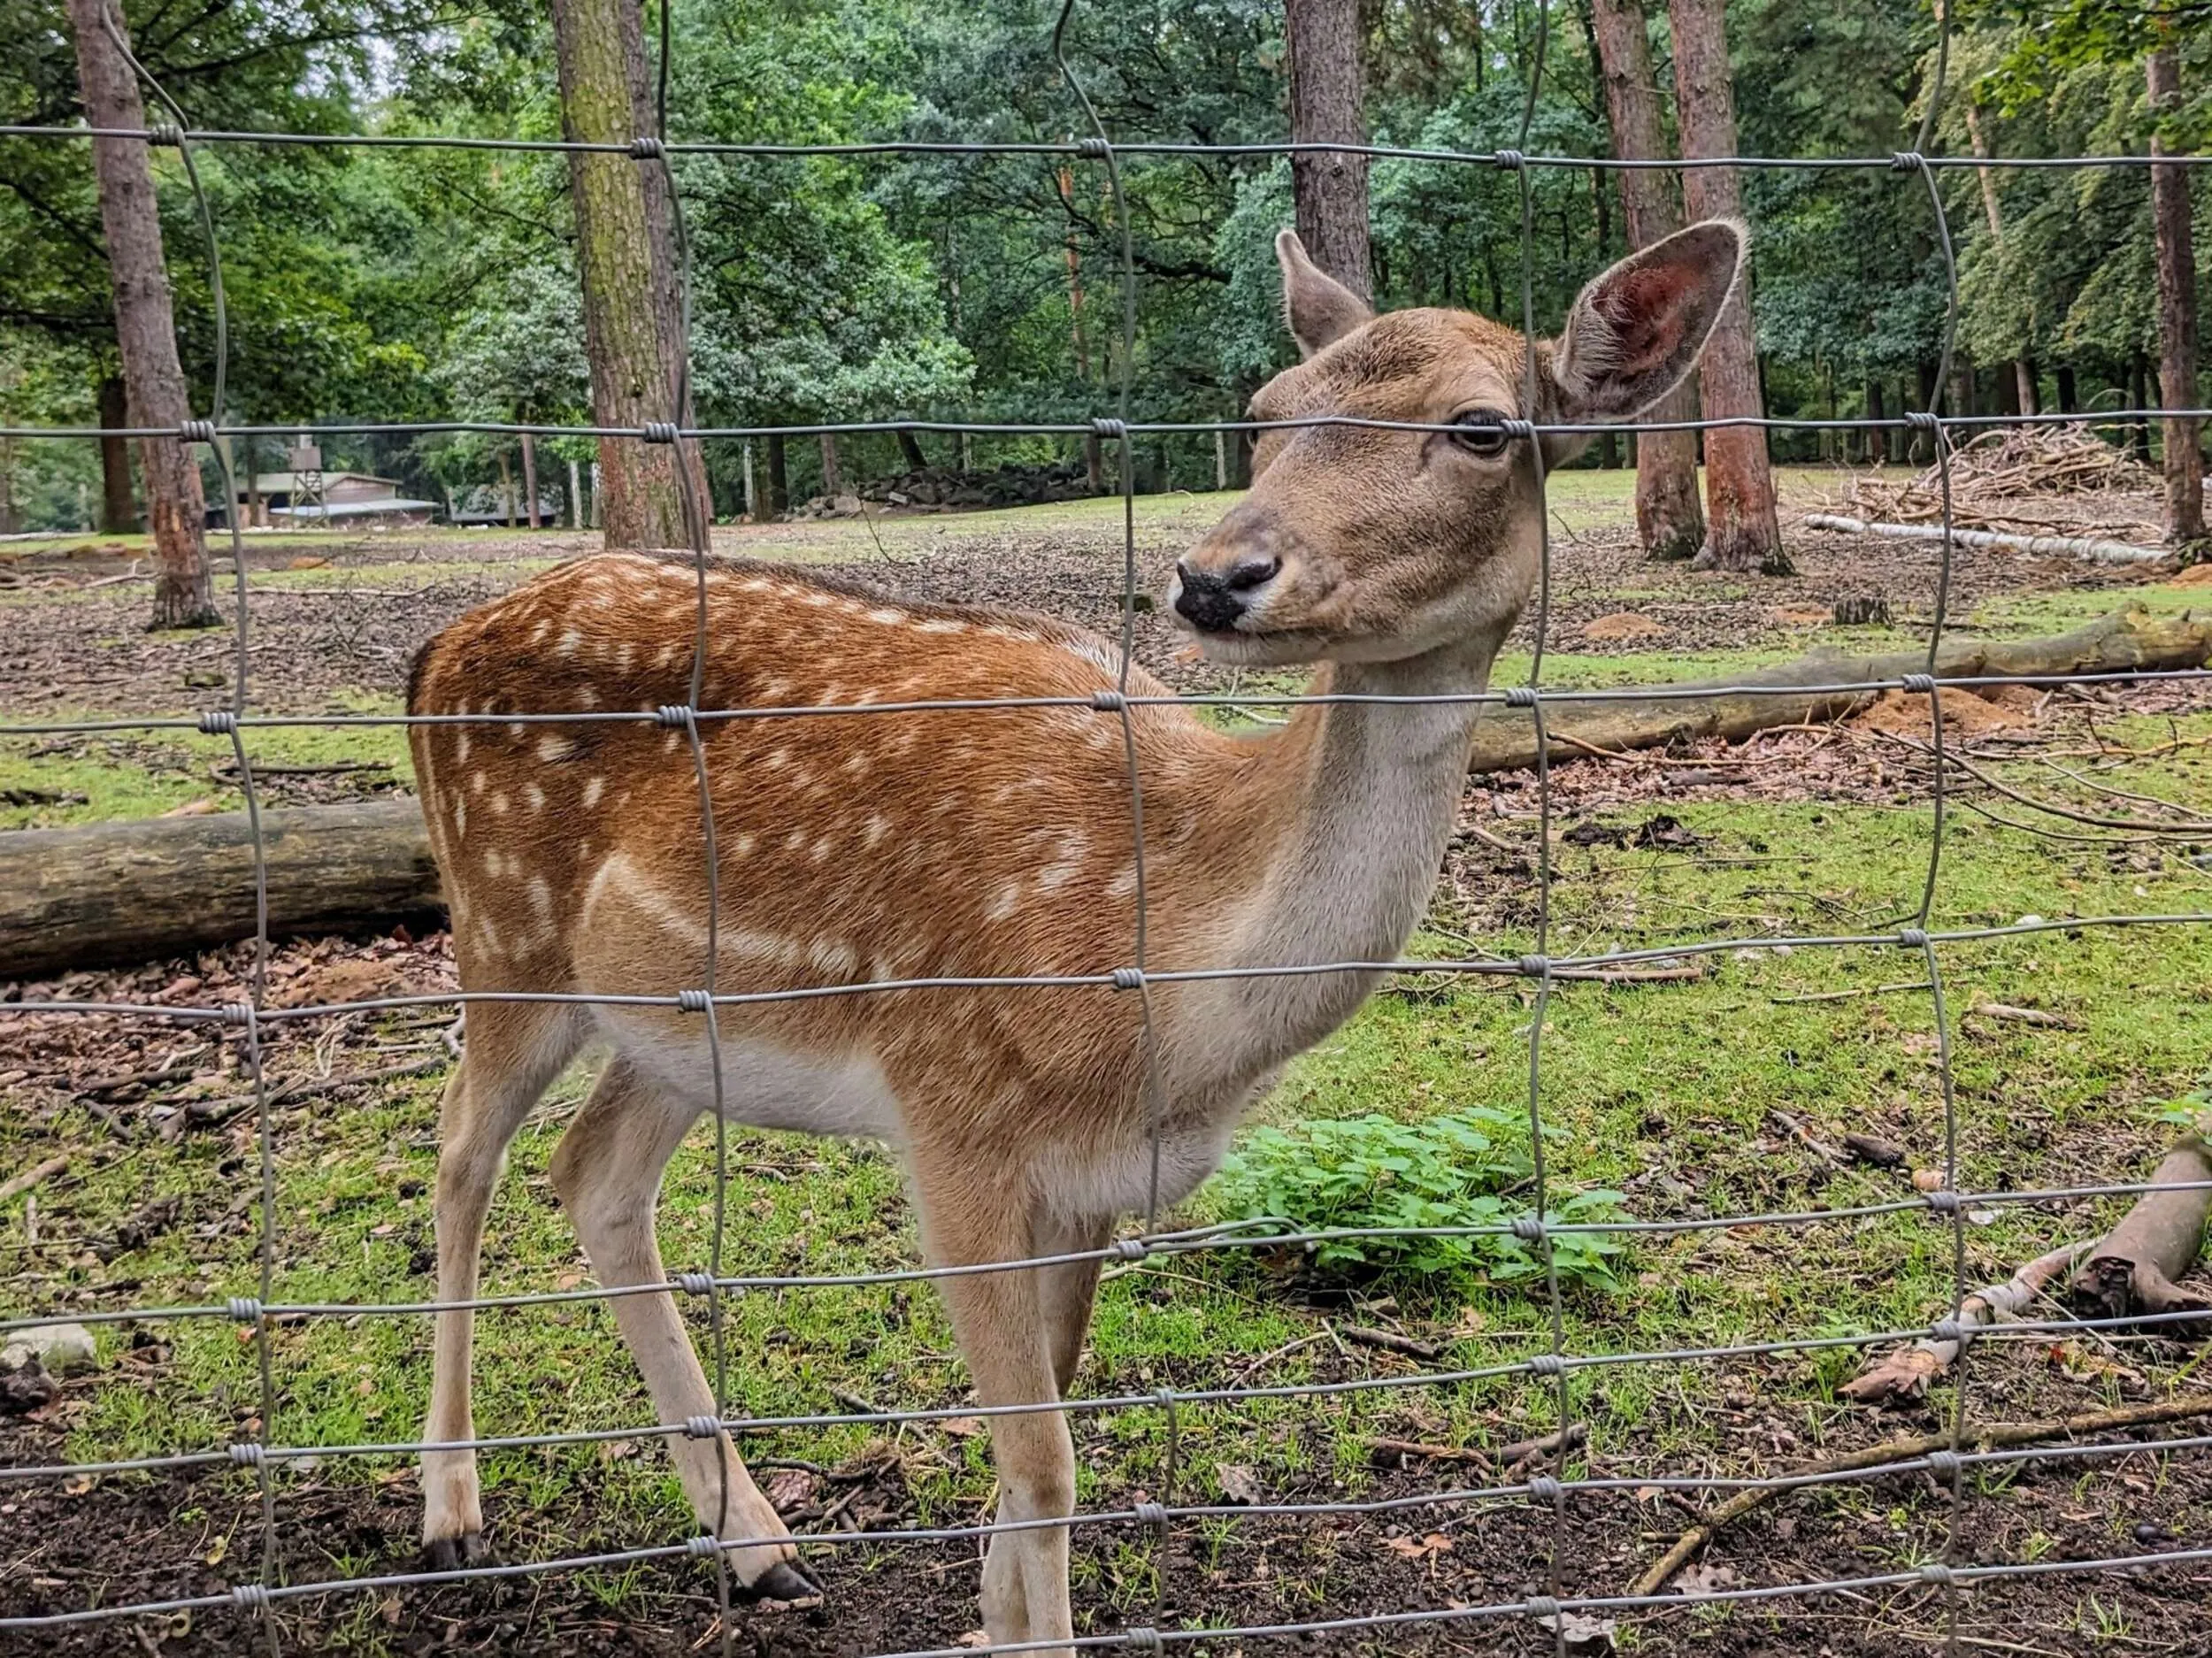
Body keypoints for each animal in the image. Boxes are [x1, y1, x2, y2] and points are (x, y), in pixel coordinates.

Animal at [403, 218, 1743, 1654]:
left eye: (1483, 427)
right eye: (1262, 412)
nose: (1214, 577)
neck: (1170, 998)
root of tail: (433, 649)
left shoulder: (1090, 1179)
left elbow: (1029, 1444)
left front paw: (990, 1619)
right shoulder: (951, 1120)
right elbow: (1043, 1464)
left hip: (676, 1020)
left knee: (594, 1174)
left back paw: (759, 1545)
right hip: (501, 922)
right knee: (462, 1155)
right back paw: (450, 1510)